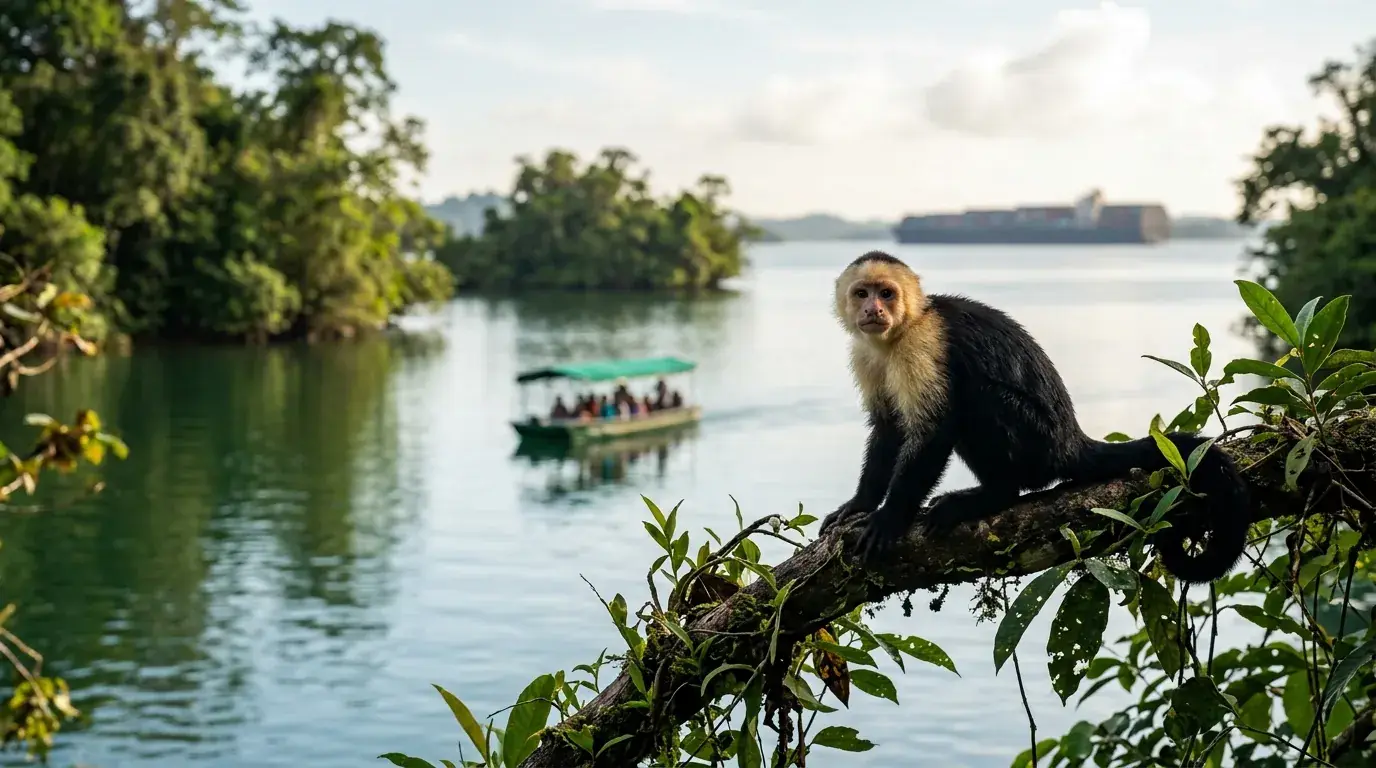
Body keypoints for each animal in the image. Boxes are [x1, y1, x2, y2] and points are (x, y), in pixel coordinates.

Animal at [818, 250, 1250, 585]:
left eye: (887, 293)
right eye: (862, 293)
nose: (873, 309)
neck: (899, 333)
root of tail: (1072, 441)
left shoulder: (923, 344)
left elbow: (933, 431)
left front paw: (889, 517)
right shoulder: (866, 353)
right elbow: (888, 428)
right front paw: (860, 504)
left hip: (1036, 441)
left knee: (977, 396)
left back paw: (993, 494)